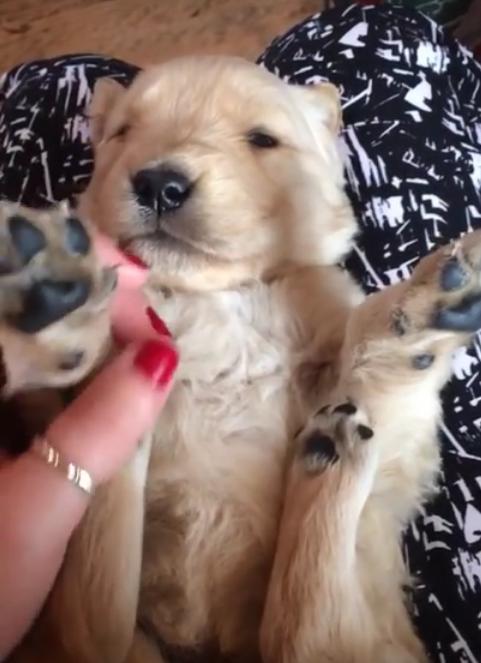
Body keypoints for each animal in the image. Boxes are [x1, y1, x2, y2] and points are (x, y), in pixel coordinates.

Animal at [5, 57, 480, 663]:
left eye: (262, 140)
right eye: (124, 132)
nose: (158, 184)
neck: (215, 296)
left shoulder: (391, 474)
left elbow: (377, 390)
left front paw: (413, 319)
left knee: (305, 630)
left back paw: (335, 444)